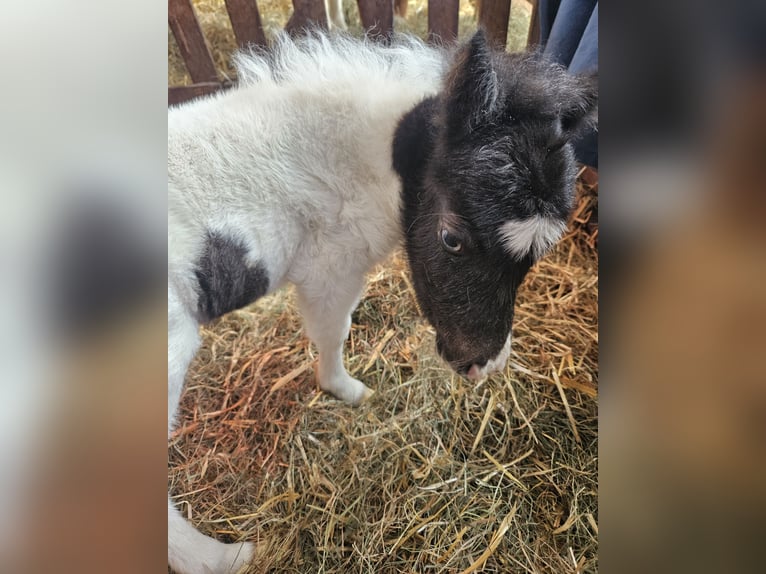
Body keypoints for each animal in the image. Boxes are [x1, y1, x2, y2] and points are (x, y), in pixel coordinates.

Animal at [168, 29, 597, 573]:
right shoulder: (332, 269)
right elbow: (334, 332)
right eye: (452, 238)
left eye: (533, 260)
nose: (484, 364)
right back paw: (223, 558)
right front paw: (345, 390)